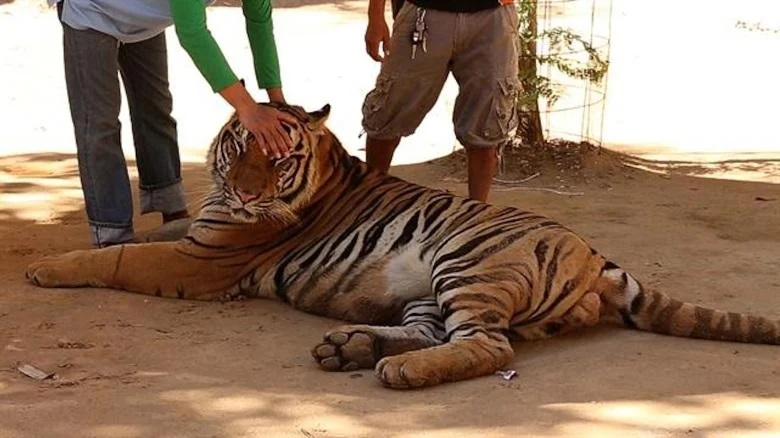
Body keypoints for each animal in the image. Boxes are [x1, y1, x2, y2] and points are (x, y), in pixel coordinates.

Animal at [26, 103, 779, 389]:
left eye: (278, 161)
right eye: (242, 149)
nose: (242, 192)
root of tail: (596, 258)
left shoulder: (204, 260)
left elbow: (116, 257)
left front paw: (42, 265)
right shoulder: (201, 234)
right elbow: (146, 233)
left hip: (468, 262)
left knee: (489, 347)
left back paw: (397, 372)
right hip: (426, 291)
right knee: (437, 332)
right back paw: (349, 349)